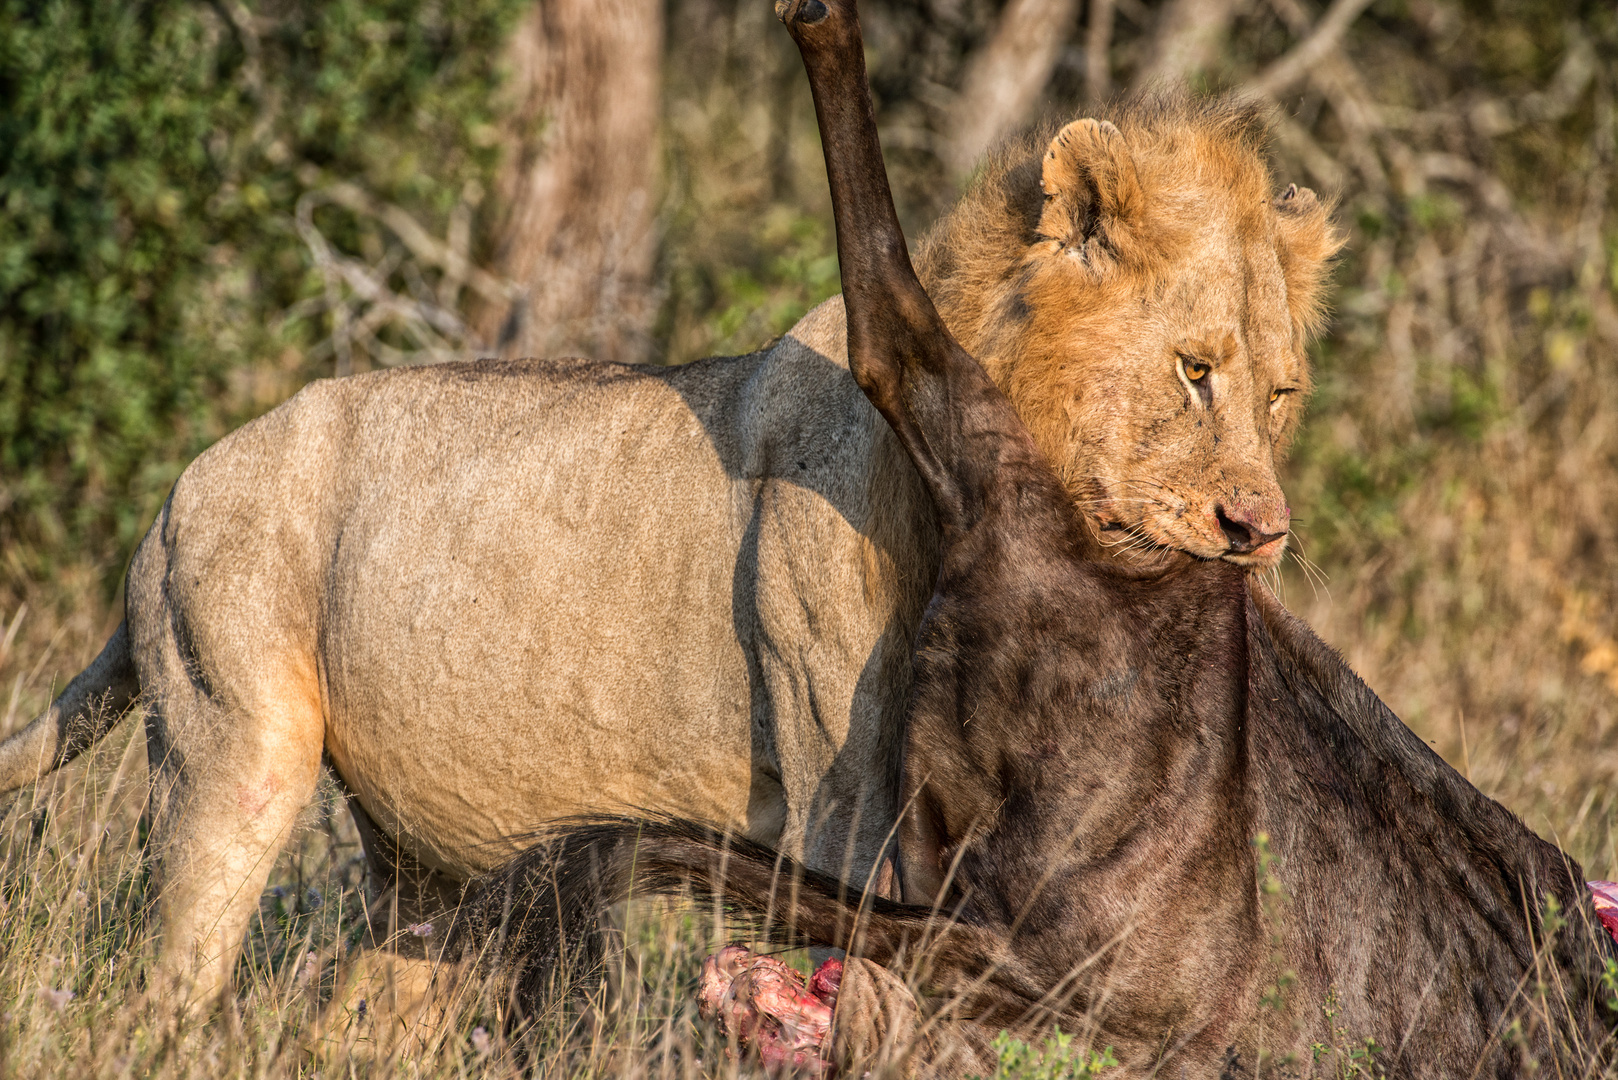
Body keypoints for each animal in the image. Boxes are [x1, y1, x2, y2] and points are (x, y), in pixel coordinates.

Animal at [0, 95, 1339, 1003]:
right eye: (1192, 370)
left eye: (1278, 394)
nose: (1260, 530)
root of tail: (179, 484)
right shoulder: (844, 793)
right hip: (230, 748)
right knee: (173, 979)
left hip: (431, 866)